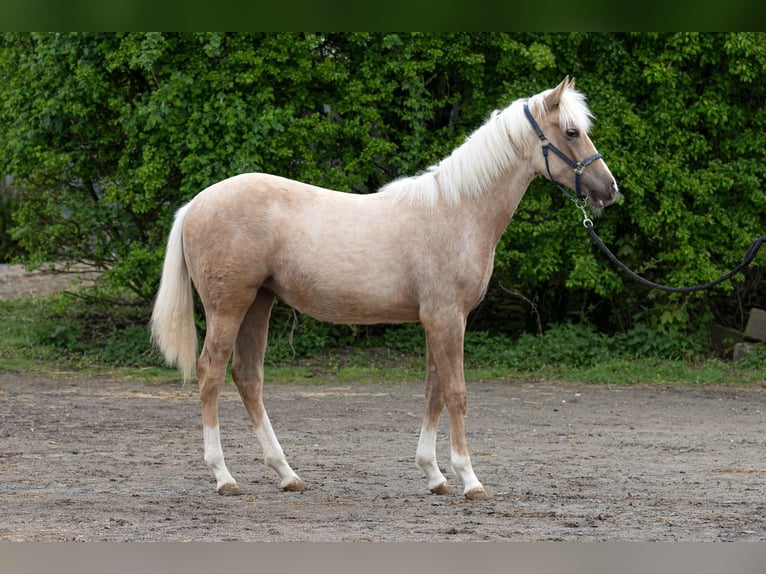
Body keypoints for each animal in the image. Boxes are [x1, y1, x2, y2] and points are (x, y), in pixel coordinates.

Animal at [150, 76, 618, 500]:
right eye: (571, 132)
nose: (610, 189)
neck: (457, 210)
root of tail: (195, 204)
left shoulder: (439, 320)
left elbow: (433, 390)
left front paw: (434, 475)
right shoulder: (447, 318)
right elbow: (456, 393)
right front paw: (469, 479)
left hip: (258, 304)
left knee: (248, 377)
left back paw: (286, 474)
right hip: (228, 307)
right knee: (211, 374)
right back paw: (223, 476)